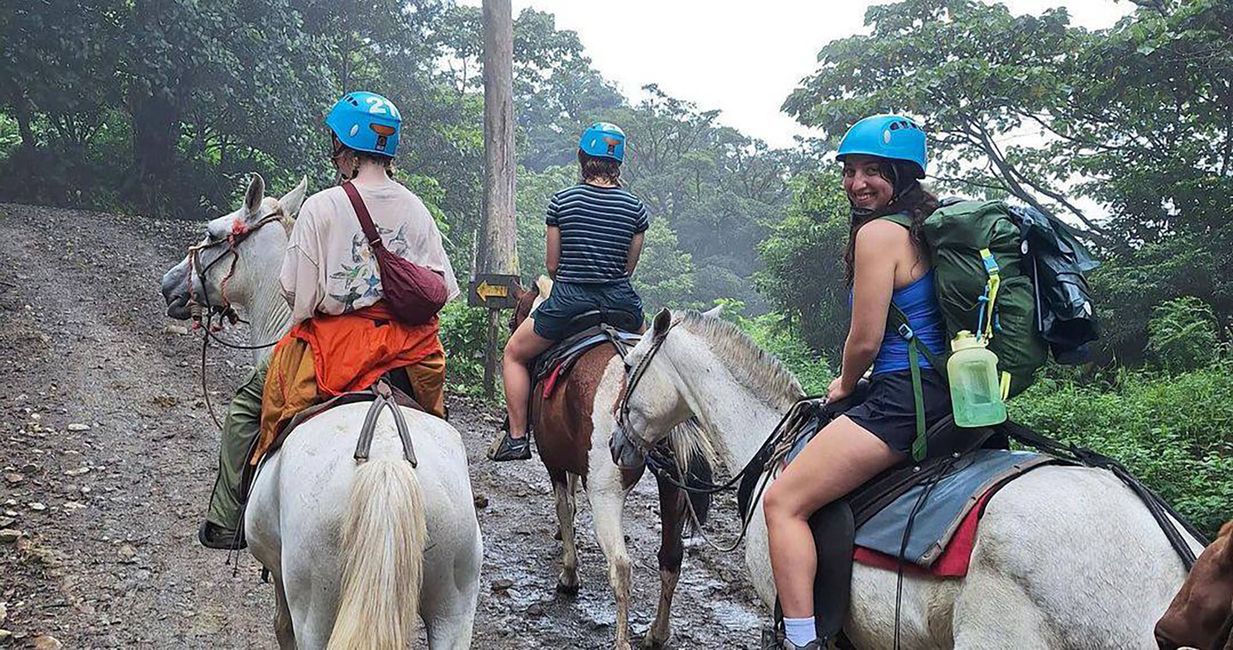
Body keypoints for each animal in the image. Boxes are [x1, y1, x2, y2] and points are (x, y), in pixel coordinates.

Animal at [162, 175, 485, 646]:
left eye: (212, 233)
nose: (169, 286)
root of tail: (386, 462)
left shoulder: (280, 575)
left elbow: (280, 627)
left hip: (316, 603)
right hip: (454, 608)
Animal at [510, 278, 715, 650]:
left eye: (517, 313)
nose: (511, 325)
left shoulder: (553, 460)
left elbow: (565, 505)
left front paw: (569, 573)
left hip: (606, 492)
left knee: (620, 565)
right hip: (672, 487)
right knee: (671, 558)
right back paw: (657, 633)